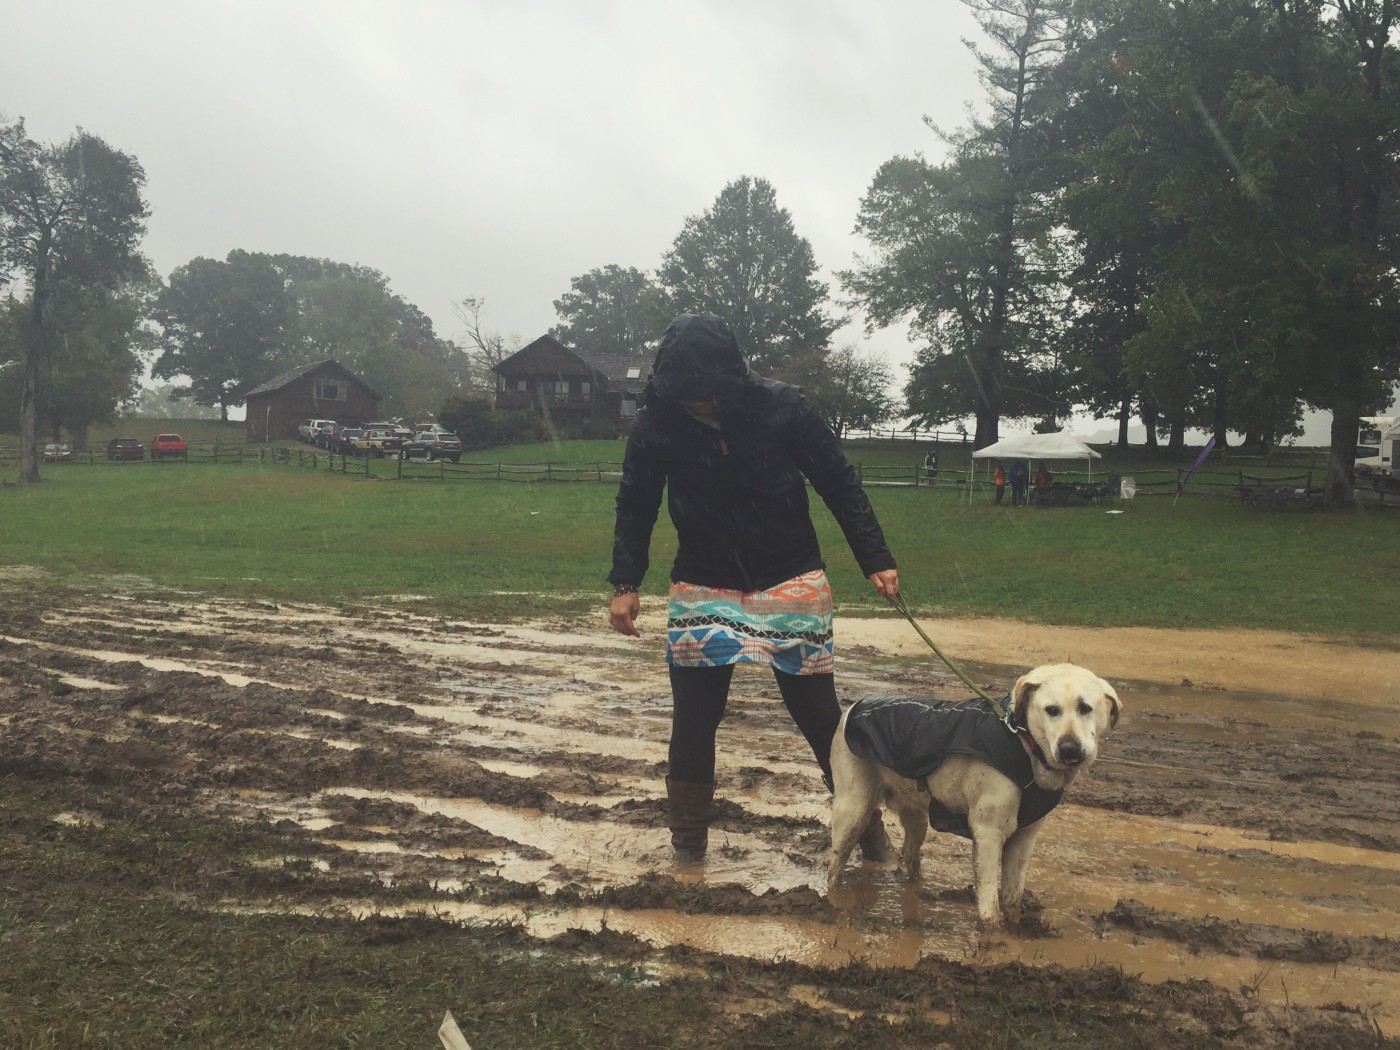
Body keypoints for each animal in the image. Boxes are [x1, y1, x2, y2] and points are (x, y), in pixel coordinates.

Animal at [823, 666, 1120, 929]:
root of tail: (853, 706)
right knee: (835, 864)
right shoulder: (988, 832)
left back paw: (918, 888)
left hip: (916, 817)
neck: (1024, 744)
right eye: (1052, 710)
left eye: (1085, 708)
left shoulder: (1025, 837)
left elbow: (1013, 895)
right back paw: (832, 900)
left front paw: (1017, 928)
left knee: (910, 855)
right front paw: (992, 935)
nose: (1069, 748)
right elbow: (989, 900)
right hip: (852, 809)